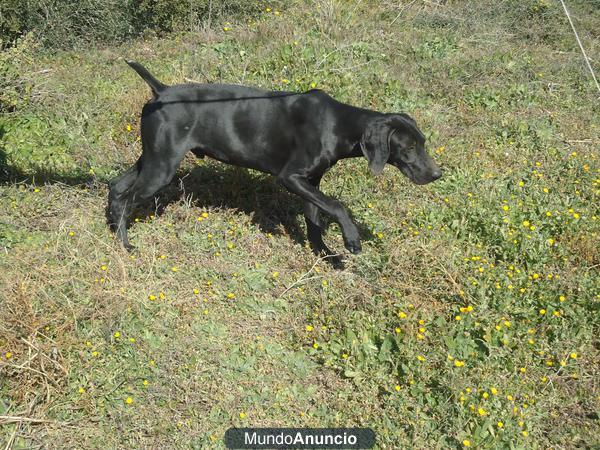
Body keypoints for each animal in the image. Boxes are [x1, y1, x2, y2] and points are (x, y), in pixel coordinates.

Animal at [109, 59, 440, 256]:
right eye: (409, 147)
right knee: (126, 199)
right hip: (162, 167)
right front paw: (351, 238)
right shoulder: (290, 177)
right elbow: (336, 205)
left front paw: (323, 255)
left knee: (116, 187)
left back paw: (112, 228)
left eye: (423, 142)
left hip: (152, 158)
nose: (437, 175)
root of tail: (161, 92)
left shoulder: (310, 182)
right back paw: (125, 243)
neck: (337, 123)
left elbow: (314, 219)